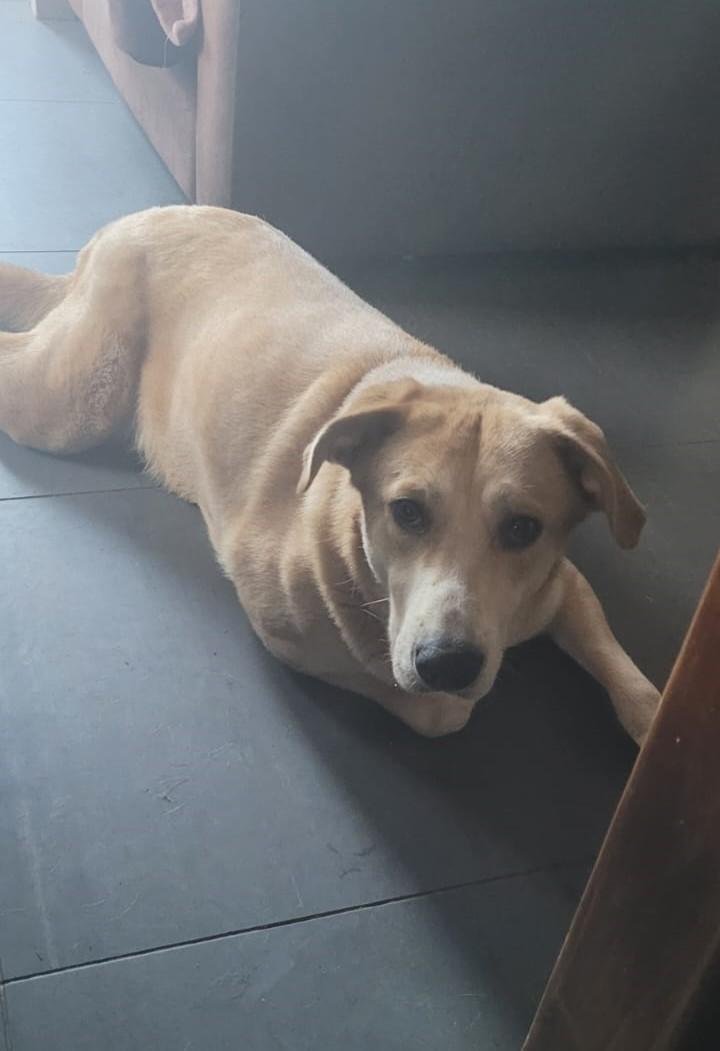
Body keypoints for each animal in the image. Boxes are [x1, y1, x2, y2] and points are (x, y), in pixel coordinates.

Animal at [0, 206, 660, 744]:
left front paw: (658, 729)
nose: (447, 662)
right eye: (407, 512)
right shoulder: (285, 627)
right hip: (74, 400)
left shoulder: (561, 583)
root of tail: (138, 216)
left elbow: (632, 679)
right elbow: (437, 708)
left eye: (524, 528)